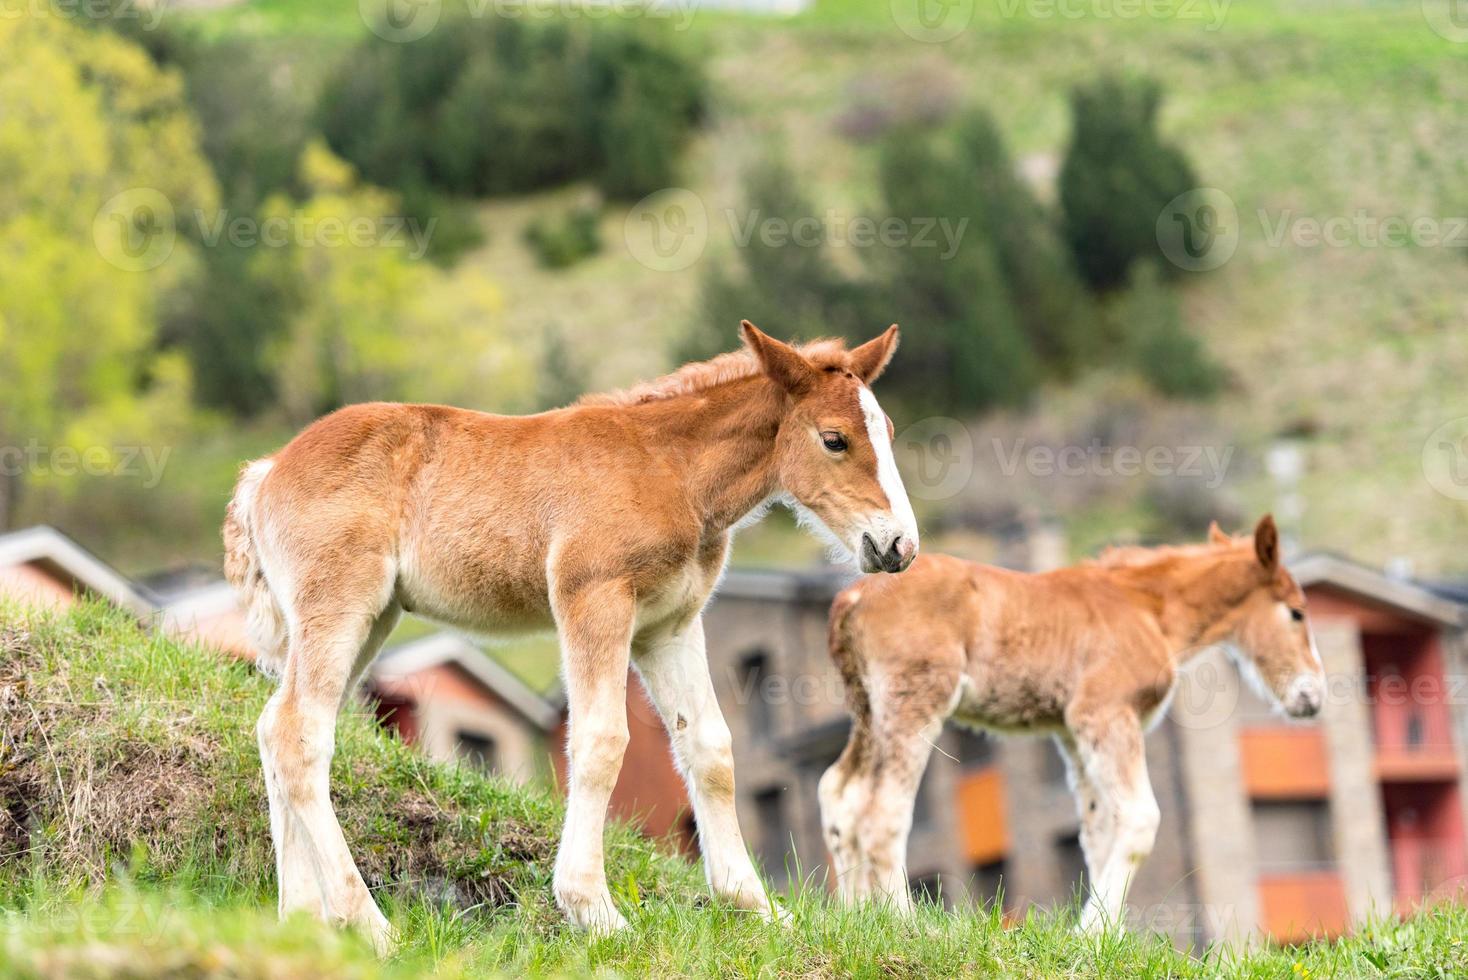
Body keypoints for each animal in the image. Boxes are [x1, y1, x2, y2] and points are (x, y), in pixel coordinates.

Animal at [223, 322, 916, 950]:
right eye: (834, 439)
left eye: (887, 433)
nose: (900, 547)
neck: (669, 469)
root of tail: (267, 471)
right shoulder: (593, 600)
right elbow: (602, 740)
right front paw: (594, 912)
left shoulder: (669, 625)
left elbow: (711, 748)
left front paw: (758, 909)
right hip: (339, 605)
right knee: (299, 733)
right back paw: (368, 925)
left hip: (371, 618)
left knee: (277, 726)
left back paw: (303, 921)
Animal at [822, 516, 1327, 933]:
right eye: (1297, 612)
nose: (1313, 696)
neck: (1147, 609)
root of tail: (853, 596)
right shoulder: (1105, 712)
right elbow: (1139, 819)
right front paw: (1091, 934)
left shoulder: (1072, 731)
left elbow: (1098, 831)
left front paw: (1107, 938)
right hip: (916, 702)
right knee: (882, 810)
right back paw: (906, 926)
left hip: (869, 710)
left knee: (839, 792)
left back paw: (855, 920)